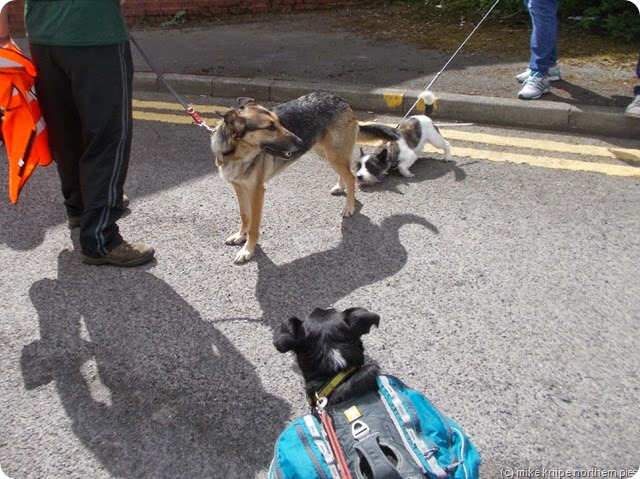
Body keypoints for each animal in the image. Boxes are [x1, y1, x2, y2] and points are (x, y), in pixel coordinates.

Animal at [212, 92, 398, 264]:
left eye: (279, 122)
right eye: (270, 127)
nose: (300, 142)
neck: (236, 154)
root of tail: (339, 99)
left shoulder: (257, 192)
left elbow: (254, 227)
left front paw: (248, 250)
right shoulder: (239, 188)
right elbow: (244, 215)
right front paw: (240, 236)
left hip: (334, 154)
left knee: (351, 177)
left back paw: (349, 207)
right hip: (326, 152)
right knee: (345, 174)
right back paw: (340, 187)